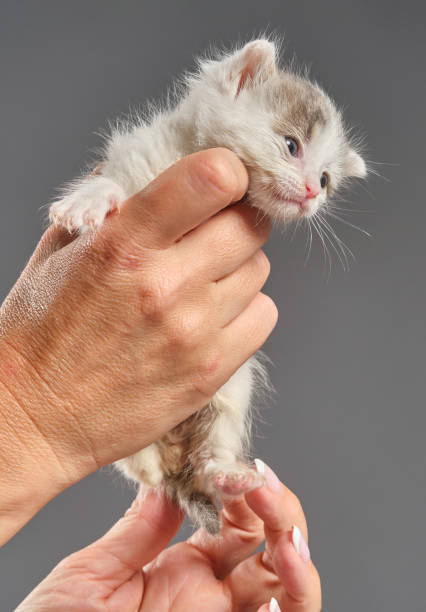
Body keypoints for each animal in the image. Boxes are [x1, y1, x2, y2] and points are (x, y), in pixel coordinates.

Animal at [47, 39, 366, 536]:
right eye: (292, 145)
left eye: (327, 180)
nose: (313, 193)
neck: (188, 151)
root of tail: (176, 459)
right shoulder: (136, 160)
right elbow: (113, 183)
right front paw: (87, 203)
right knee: (137, 459)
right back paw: (148, 462)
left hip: (231, 390)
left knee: (208, 452)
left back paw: (228, 476)